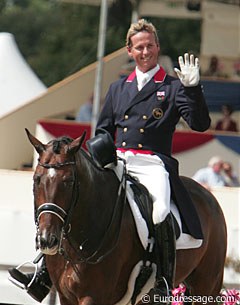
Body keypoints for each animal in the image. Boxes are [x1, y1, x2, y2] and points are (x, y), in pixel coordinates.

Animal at [26, 129, 227, 304]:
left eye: (69, 181)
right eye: (36, 179)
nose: (47, 240)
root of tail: (208, 195)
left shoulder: (93, 296)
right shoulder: (66, 296)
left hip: (207, 286)